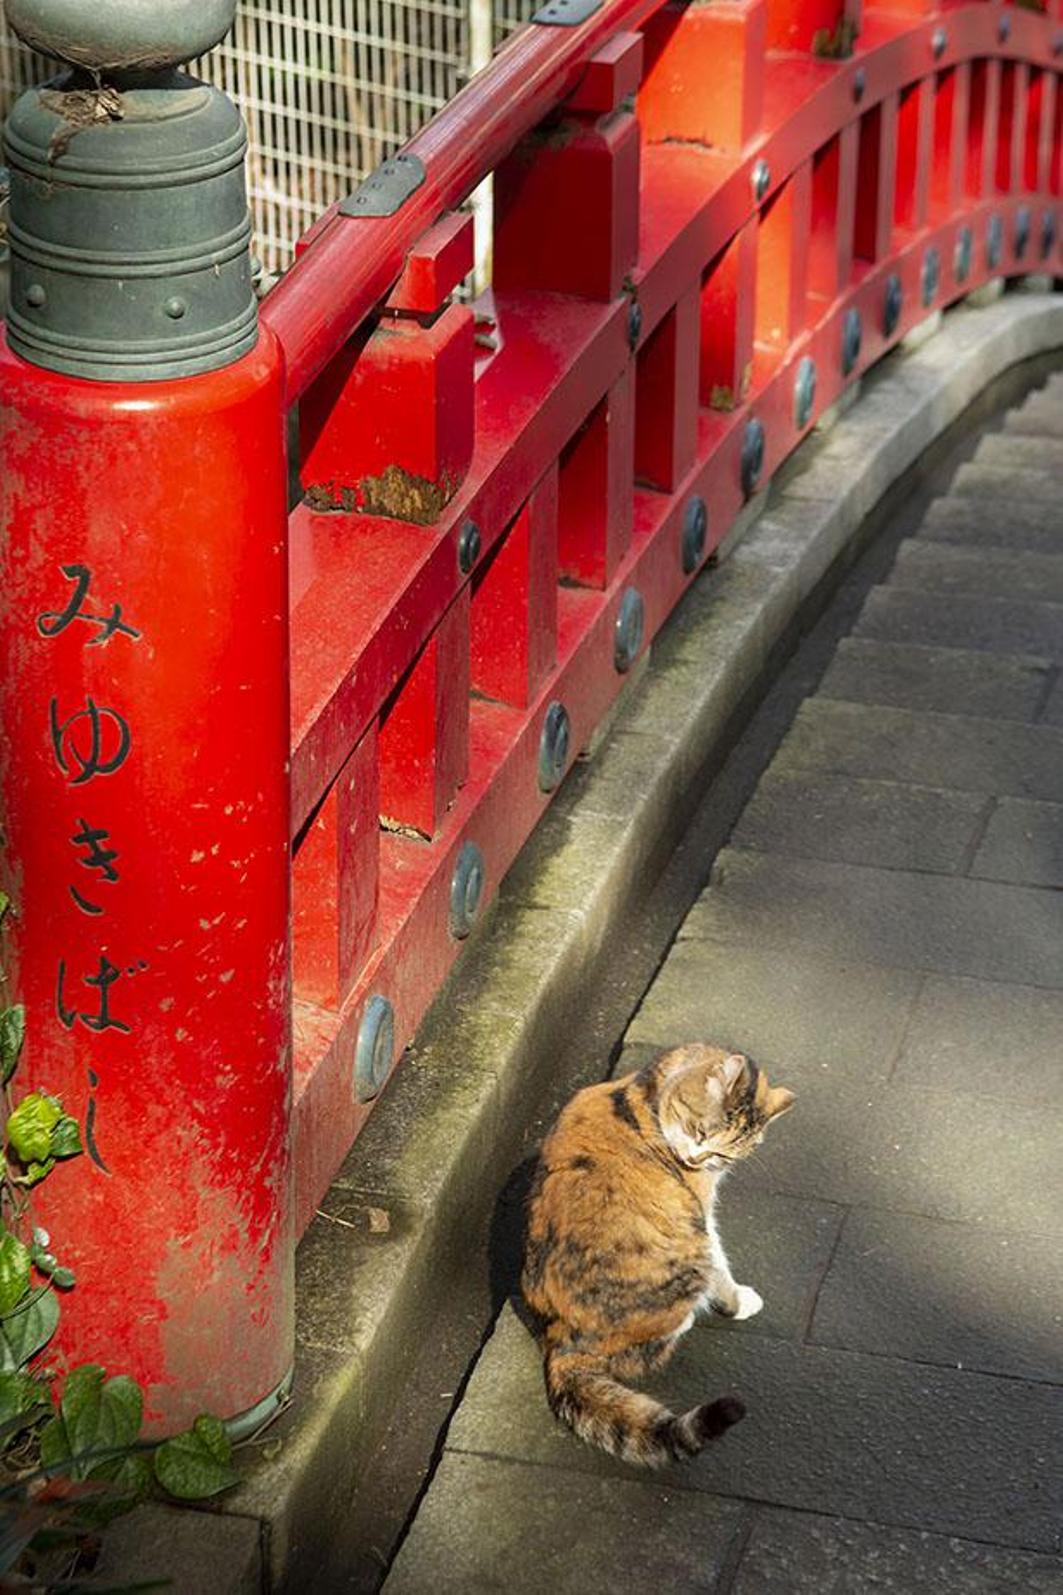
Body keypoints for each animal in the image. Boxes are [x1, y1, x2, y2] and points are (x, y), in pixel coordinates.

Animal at [517, 1046, 791, 1467]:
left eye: (724, 1153)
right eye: (700, 1131)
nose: (696, 1159)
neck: (647, 1090)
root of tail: (561, 1339)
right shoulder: (700, 1212)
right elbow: (721, 1262)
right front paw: (738, 1302)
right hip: (688, 1262)